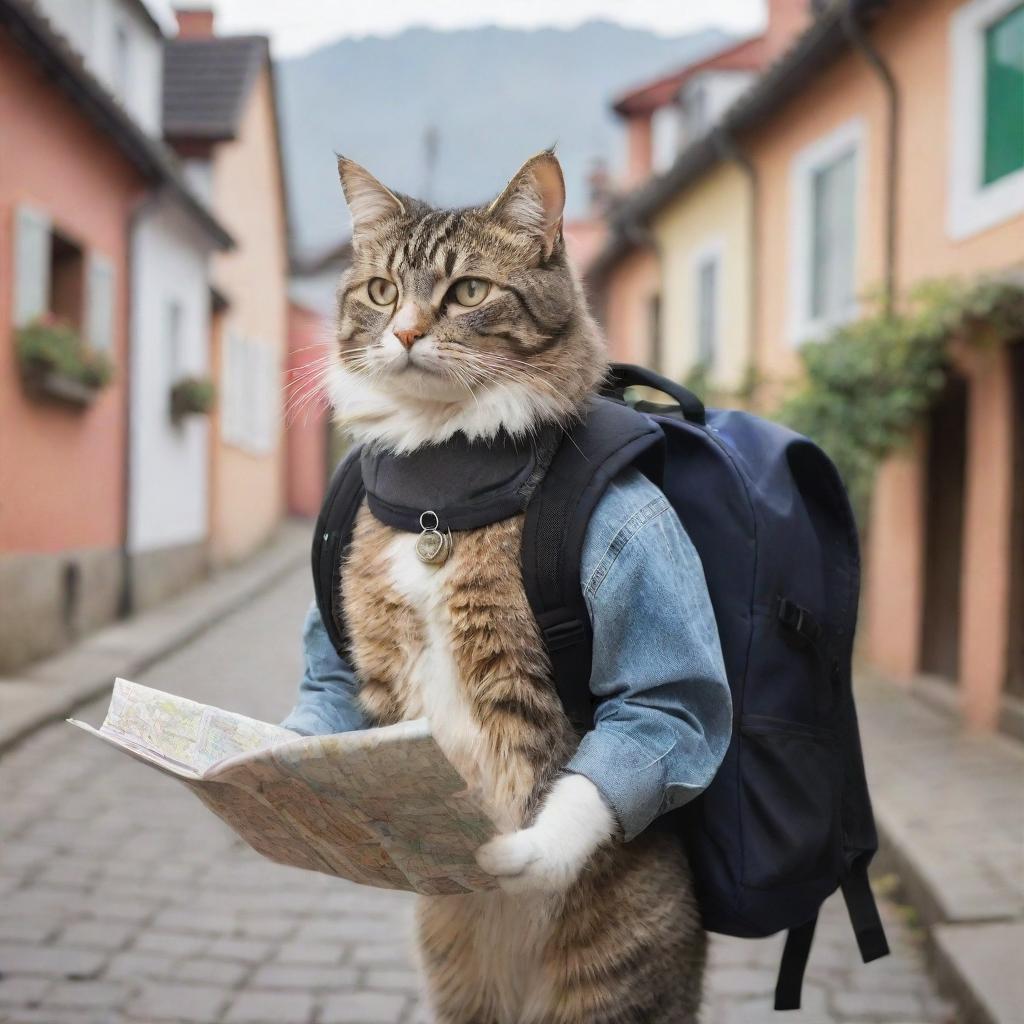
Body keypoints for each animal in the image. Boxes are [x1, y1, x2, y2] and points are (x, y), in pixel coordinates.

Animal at [325, 151, 704, 1024]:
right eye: (383, 291)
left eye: (468, 291)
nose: (405, 332)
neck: (440, 477)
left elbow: (662, 709)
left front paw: (524, 853)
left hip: (610, 983)